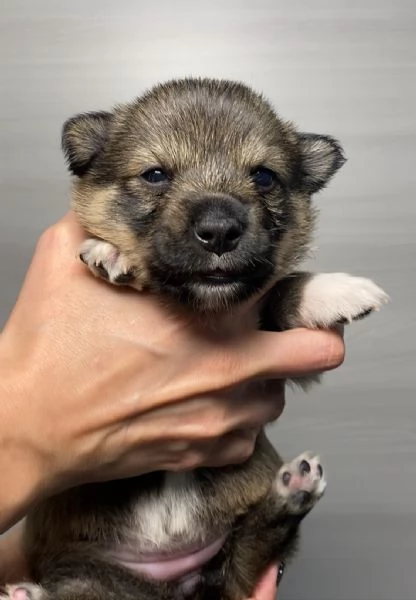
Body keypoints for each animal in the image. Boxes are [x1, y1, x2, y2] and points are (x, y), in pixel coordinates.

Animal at [4, 77, 386, 600]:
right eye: (155, 175)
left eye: (264, 177)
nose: (220, 231)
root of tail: (179, 586)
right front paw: (110, 253)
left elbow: (278, 289)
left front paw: (329, 291)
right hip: (88, 568)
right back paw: (31, 592)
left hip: (234, 559)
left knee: (253, 548)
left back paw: (293, 491)